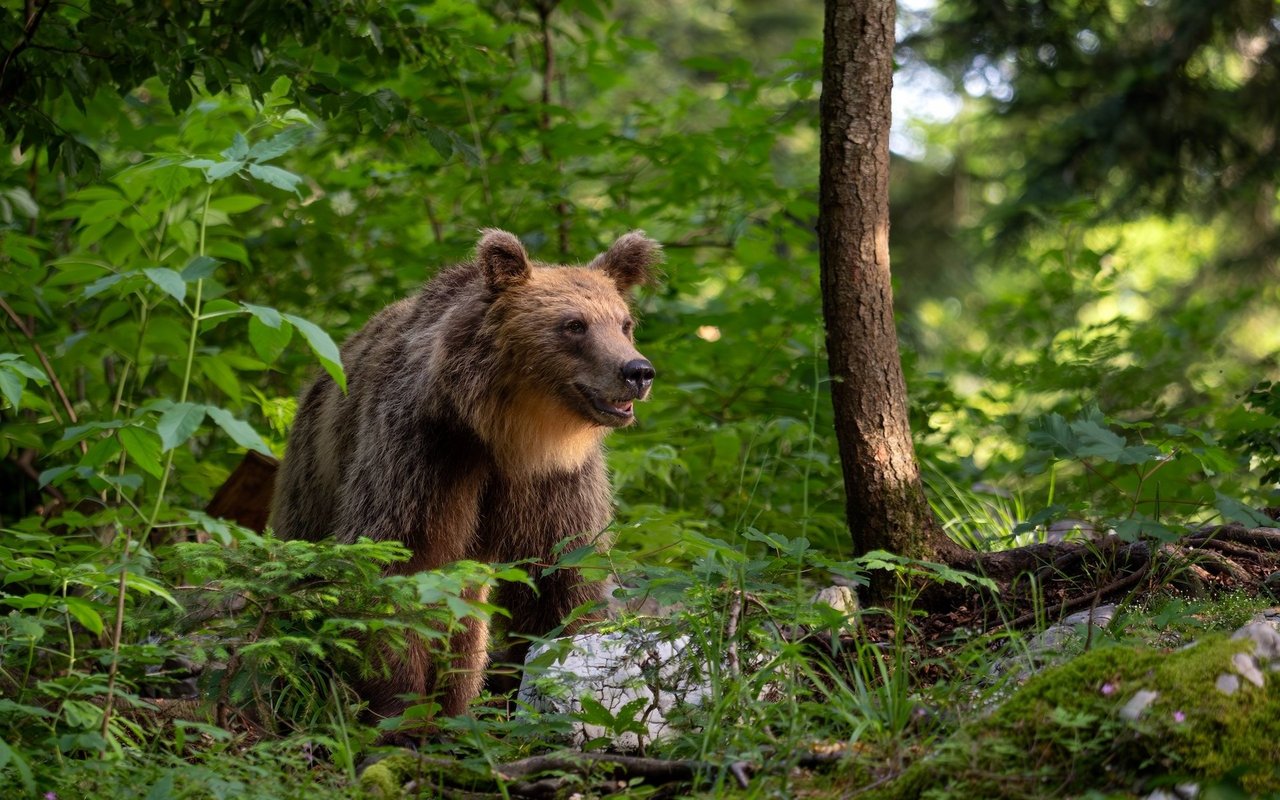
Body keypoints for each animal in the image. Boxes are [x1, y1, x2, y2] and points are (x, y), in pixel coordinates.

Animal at [264, 227, 655, 721]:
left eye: (624, 323)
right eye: (574, 325)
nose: (637, 371)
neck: (510, 436)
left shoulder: (556, 482)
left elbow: (563, 577)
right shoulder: (425, 453)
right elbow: (402, 563)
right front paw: (400, 709)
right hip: (315, 471)